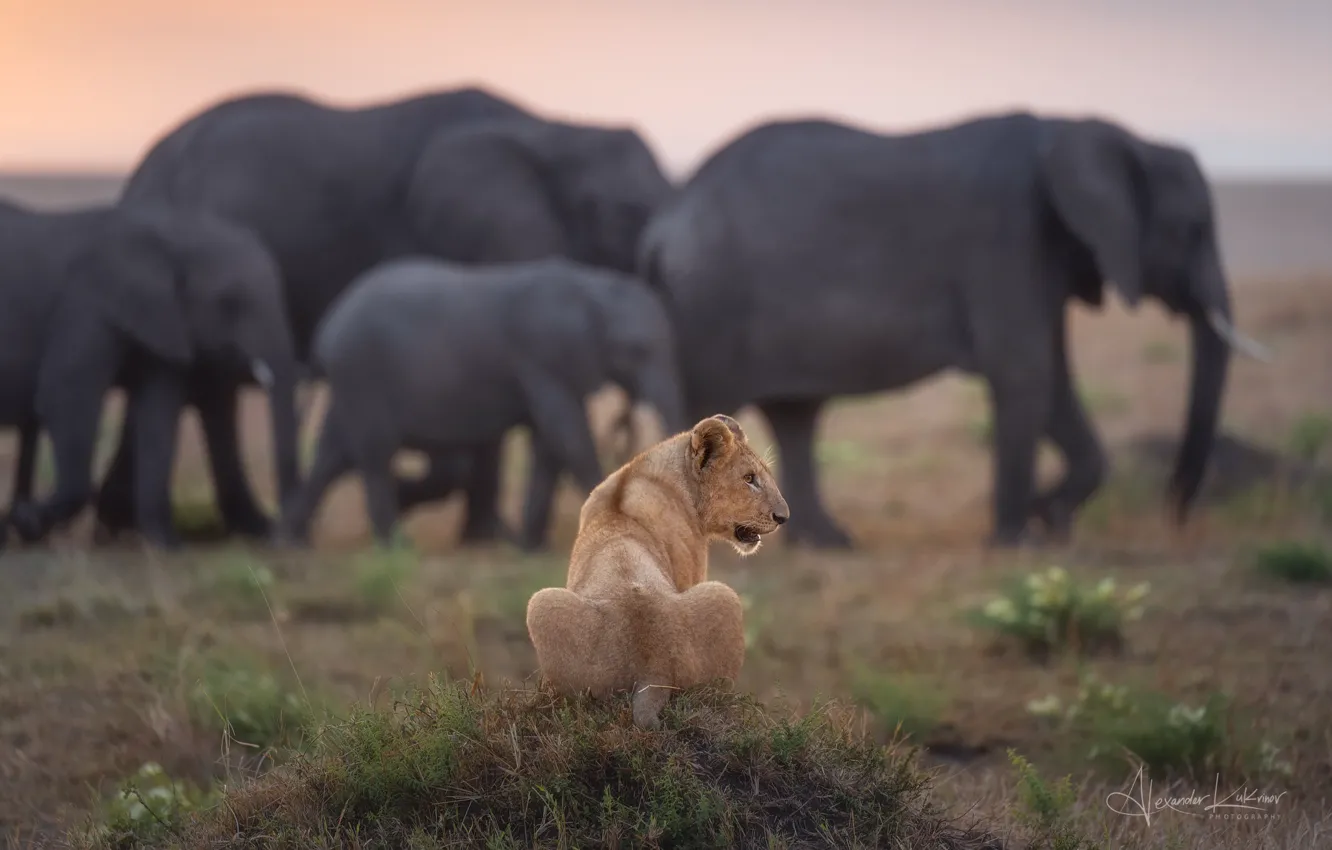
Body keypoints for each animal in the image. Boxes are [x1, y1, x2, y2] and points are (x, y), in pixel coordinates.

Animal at [0, 199, 300, 549]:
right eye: (229, 302)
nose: (279, 538)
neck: (174, 233)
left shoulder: (165, 318)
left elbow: (158, 411)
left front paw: (167, 545)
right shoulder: (87, 304)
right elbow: (64, 396)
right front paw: (28, 521)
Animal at [275, 255, 686, 550]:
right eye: (635, 351)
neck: (593, 287)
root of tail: (327, 331)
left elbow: (549, 445)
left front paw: (528, 548)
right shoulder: (544, 357)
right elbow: (564, 432)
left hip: (352, 381)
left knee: (334, 452)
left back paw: (291, 543)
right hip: (362, 372)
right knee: (371, 454)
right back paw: (394, 546)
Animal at [636, 110, 1271, 549]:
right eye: (1190, 228)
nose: (1178, 515)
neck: (1086, 132)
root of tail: (664, 221)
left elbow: (1052, 376)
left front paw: (1050, 521)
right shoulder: (1009, 238)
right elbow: (1025, 372)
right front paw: (1020, 541)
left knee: (797, 415)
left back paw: (833, 545)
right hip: (707, 306)